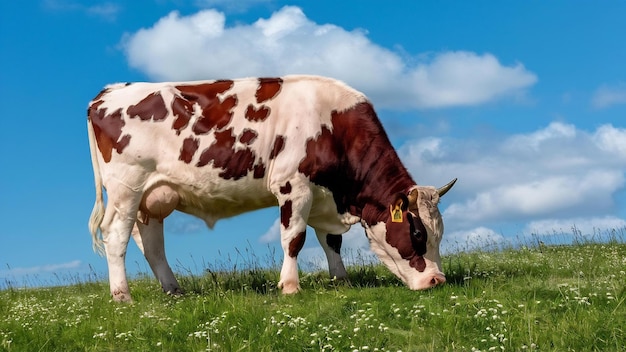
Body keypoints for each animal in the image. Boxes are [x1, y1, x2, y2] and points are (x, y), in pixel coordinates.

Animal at [86, 73, 454, 300]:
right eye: (417, 233)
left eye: (439, 234)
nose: (437, 280)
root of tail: (110, 91)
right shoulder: (293, 186)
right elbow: (294, 239)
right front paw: (290, 286)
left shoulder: (322, 194)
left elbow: (331, 242)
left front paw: (341, 281)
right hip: (126, 187)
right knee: (116, 235)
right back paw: (122, 296)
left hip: (151, 197)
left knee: (151, 244)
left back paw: (174, 290)